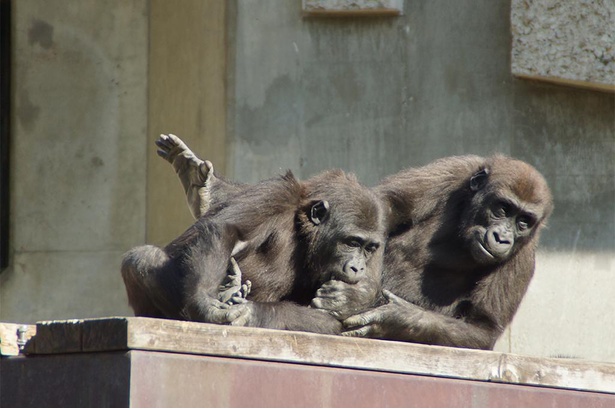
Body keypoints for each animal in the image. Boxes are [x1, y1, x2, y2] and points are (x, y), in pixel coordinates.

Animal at [159, 133, 552, 348]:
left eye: (523, 221)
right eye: (502, 208)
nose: (503, 236)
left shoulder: (525, 259)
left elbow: (482, 328)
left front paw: (389, 314)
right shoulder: (454, 171)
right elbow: (386, 205)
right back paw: (207, 193)